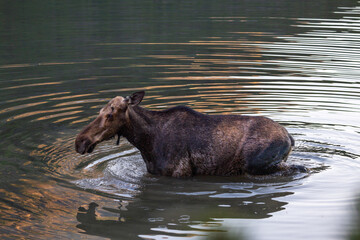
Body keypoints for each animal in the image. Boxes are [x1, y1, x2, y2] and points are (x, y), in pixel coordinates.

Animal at [74, 91, 300, 177]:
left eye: (111, 114)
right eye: (100, 111)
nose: (80, 141)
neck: (145, 142)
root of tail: (290, 137)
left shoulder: (179, 173)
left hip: (256, 164)